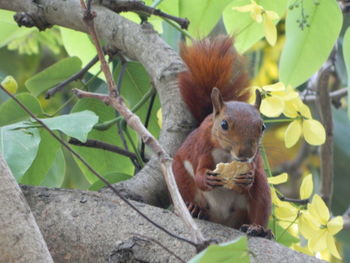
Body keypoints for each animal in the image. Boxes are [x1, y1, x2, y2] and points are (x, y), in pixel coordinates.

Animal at [172, 36, 270, 236]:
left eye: (263, 126)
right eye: (224, 125)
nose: (245, 153)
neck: (227, 153)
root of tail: (220, 219)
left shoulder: (254, 161)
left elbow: (250, 176)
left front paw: (246, 179)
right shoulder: (201, 147)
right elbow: (200, 172)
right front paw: (205, 178)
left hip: (261, 190)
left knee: (259, 206)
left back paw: (258, 228)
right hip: (180, 176)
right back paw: (193, 208)